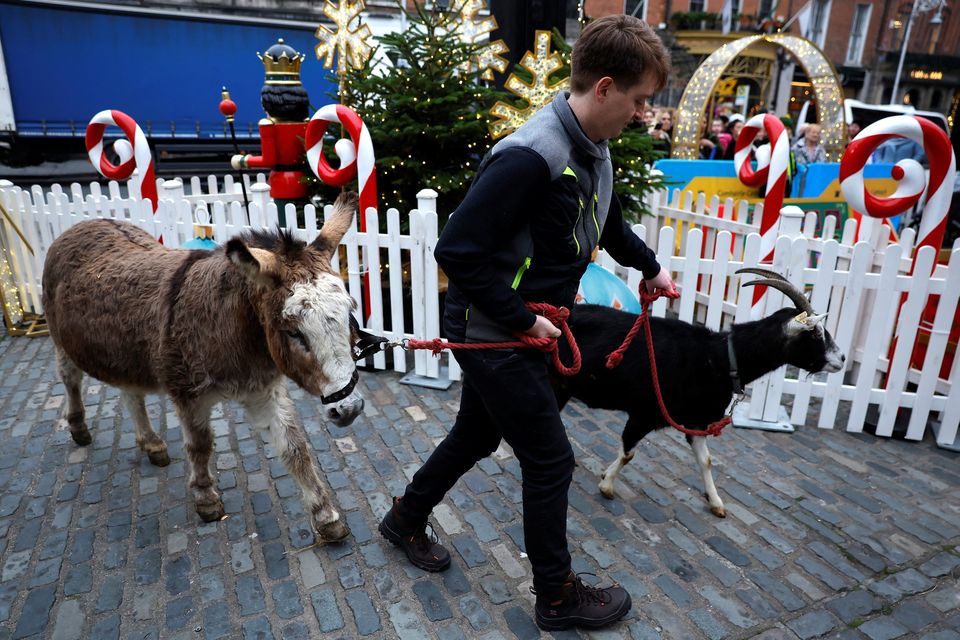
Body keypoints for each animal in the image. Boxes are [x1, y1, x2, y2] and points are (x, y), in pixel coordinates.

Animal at [552, 268, 844, 516]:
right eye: (816, 334)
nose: (840, 359)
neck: (718, 358)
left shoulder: (696, 421)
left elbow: (706, 460)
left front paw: (716, 502)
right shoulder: (644, 413)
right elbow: (628, 453)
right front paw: (607, 485)